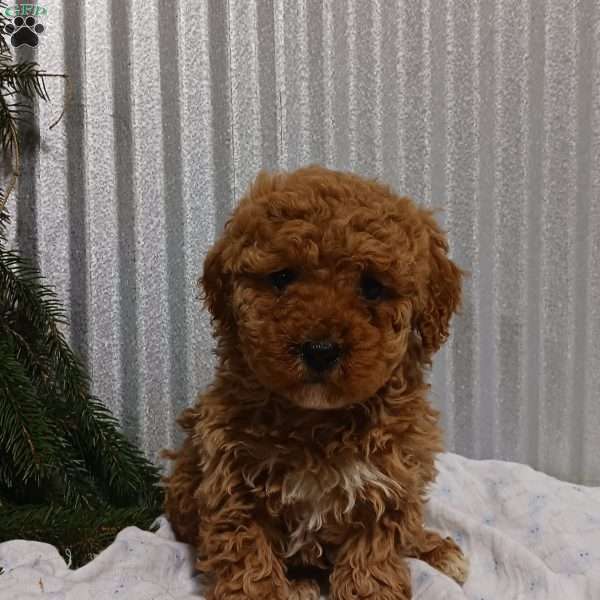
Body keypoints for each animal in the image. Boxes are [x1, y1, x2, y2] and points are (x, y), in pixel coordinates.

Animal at [165, 165, 468, 600]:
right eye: (282, 277)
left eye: (372, 287)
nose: (321, 350)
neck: (317, 421)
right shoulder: (232, 480)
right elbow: (248, 558)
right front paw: (268, 591)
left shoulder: (387, 482)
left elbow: (372, 561)